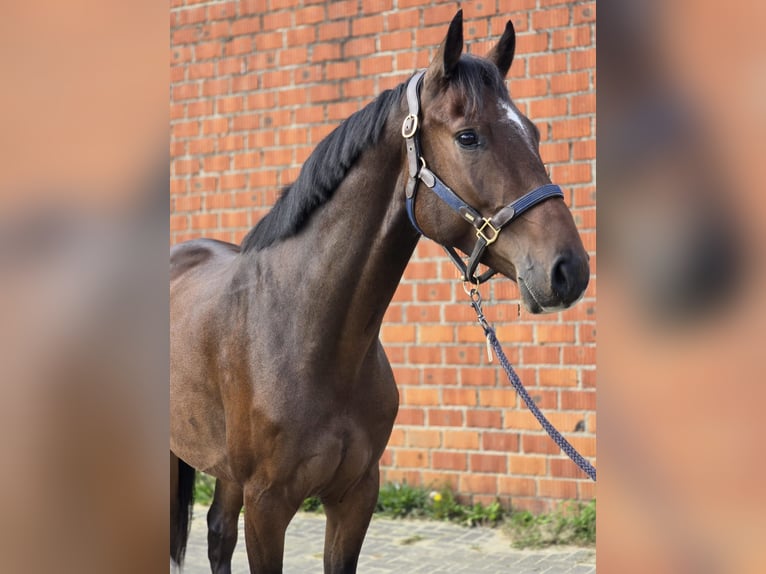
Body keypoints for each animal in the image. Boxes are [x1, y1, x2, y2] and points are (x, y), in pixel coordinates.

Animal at [171, 11, 592, 572]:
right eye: (469, 137)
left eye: (535, 132)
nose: (569, 269)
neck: (307, 335)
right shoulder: (267, 507)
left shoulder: (355, 498)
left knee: (218, 531)